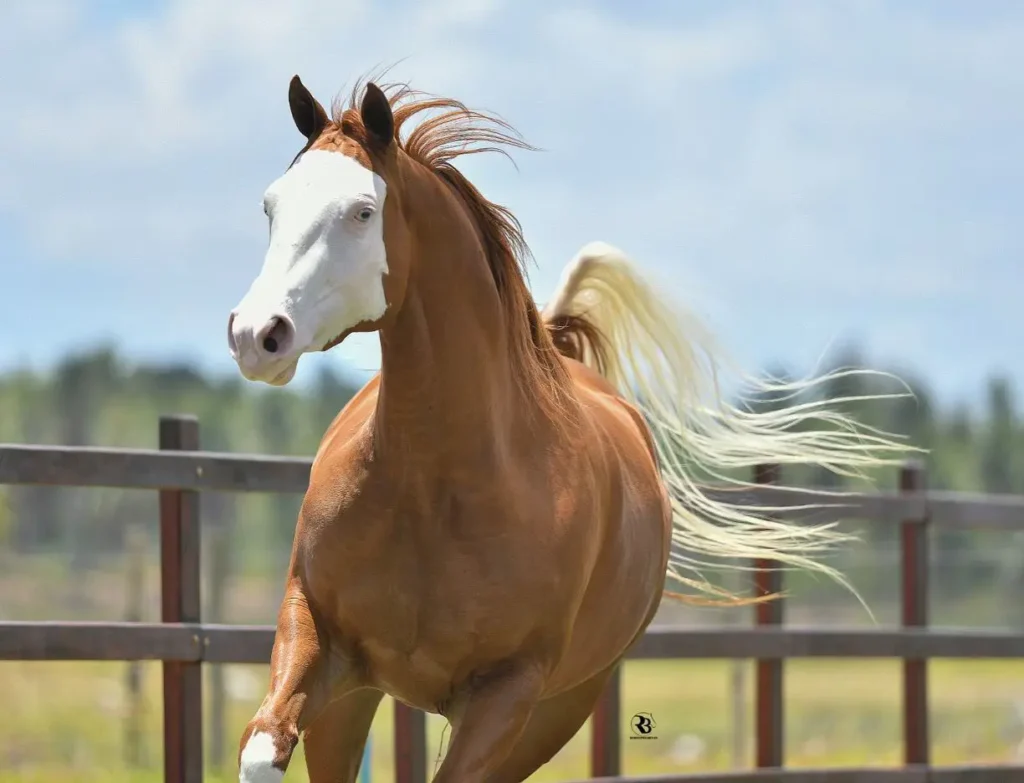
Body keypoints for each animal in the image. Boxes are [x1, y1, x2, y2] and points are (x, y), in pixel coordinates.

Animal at [226, 74, 913, 781]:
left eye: (363, 211)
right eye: (272, 206)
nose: (257, 335)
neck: (435, 487)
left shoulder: (507, 693)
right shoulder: (321, 642)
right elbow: (261, 750)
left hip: (560, 709)